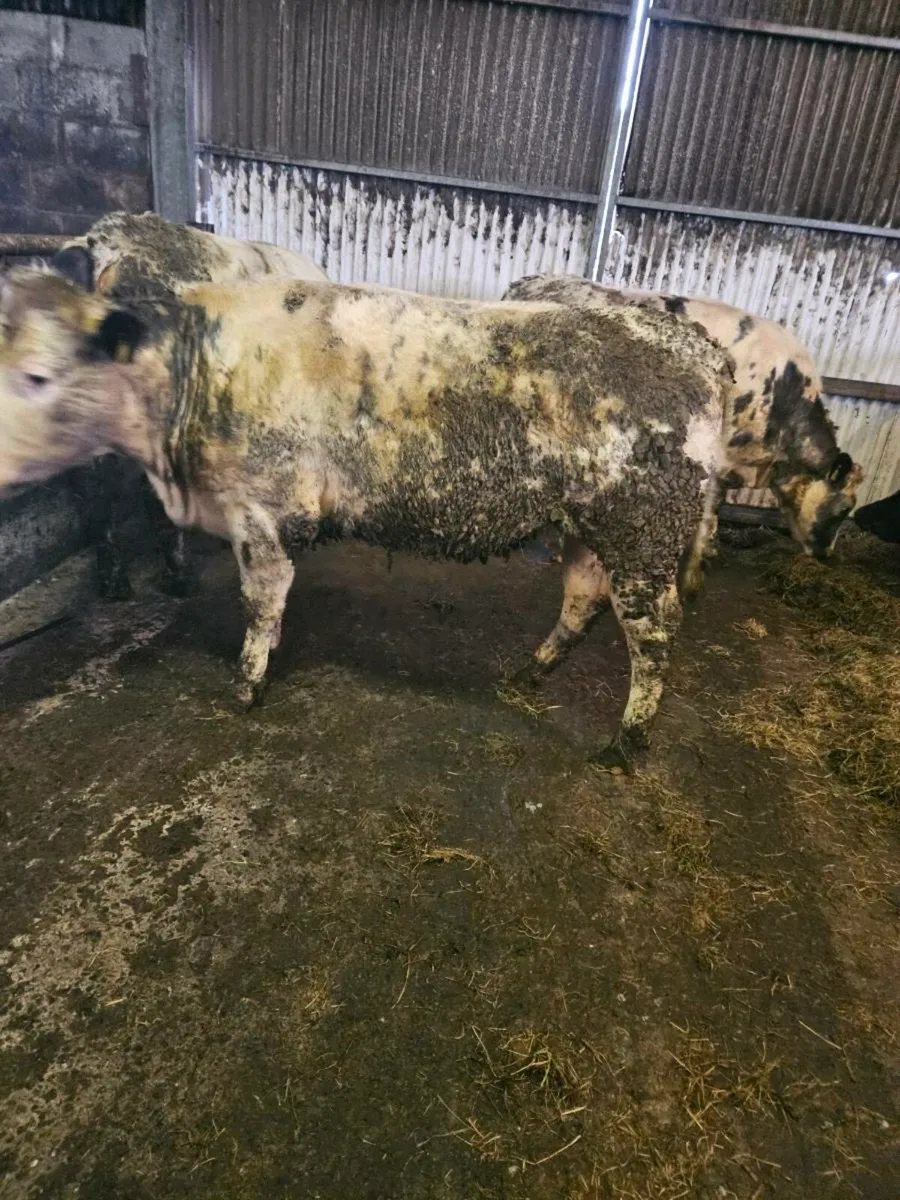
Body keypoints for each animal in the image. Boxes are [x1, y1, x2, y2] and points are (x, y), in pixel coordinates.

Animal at [0, 267, 735, 772]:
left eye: (37, 375)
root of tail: (690, 342)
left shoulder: (259, 508)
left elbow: (261, 600)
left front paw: (247, 683)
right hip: (589, 526)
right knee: (584, 598)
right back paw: (529, 674)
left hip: (641, 532)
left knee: (652, 630)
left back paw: (626, 743)